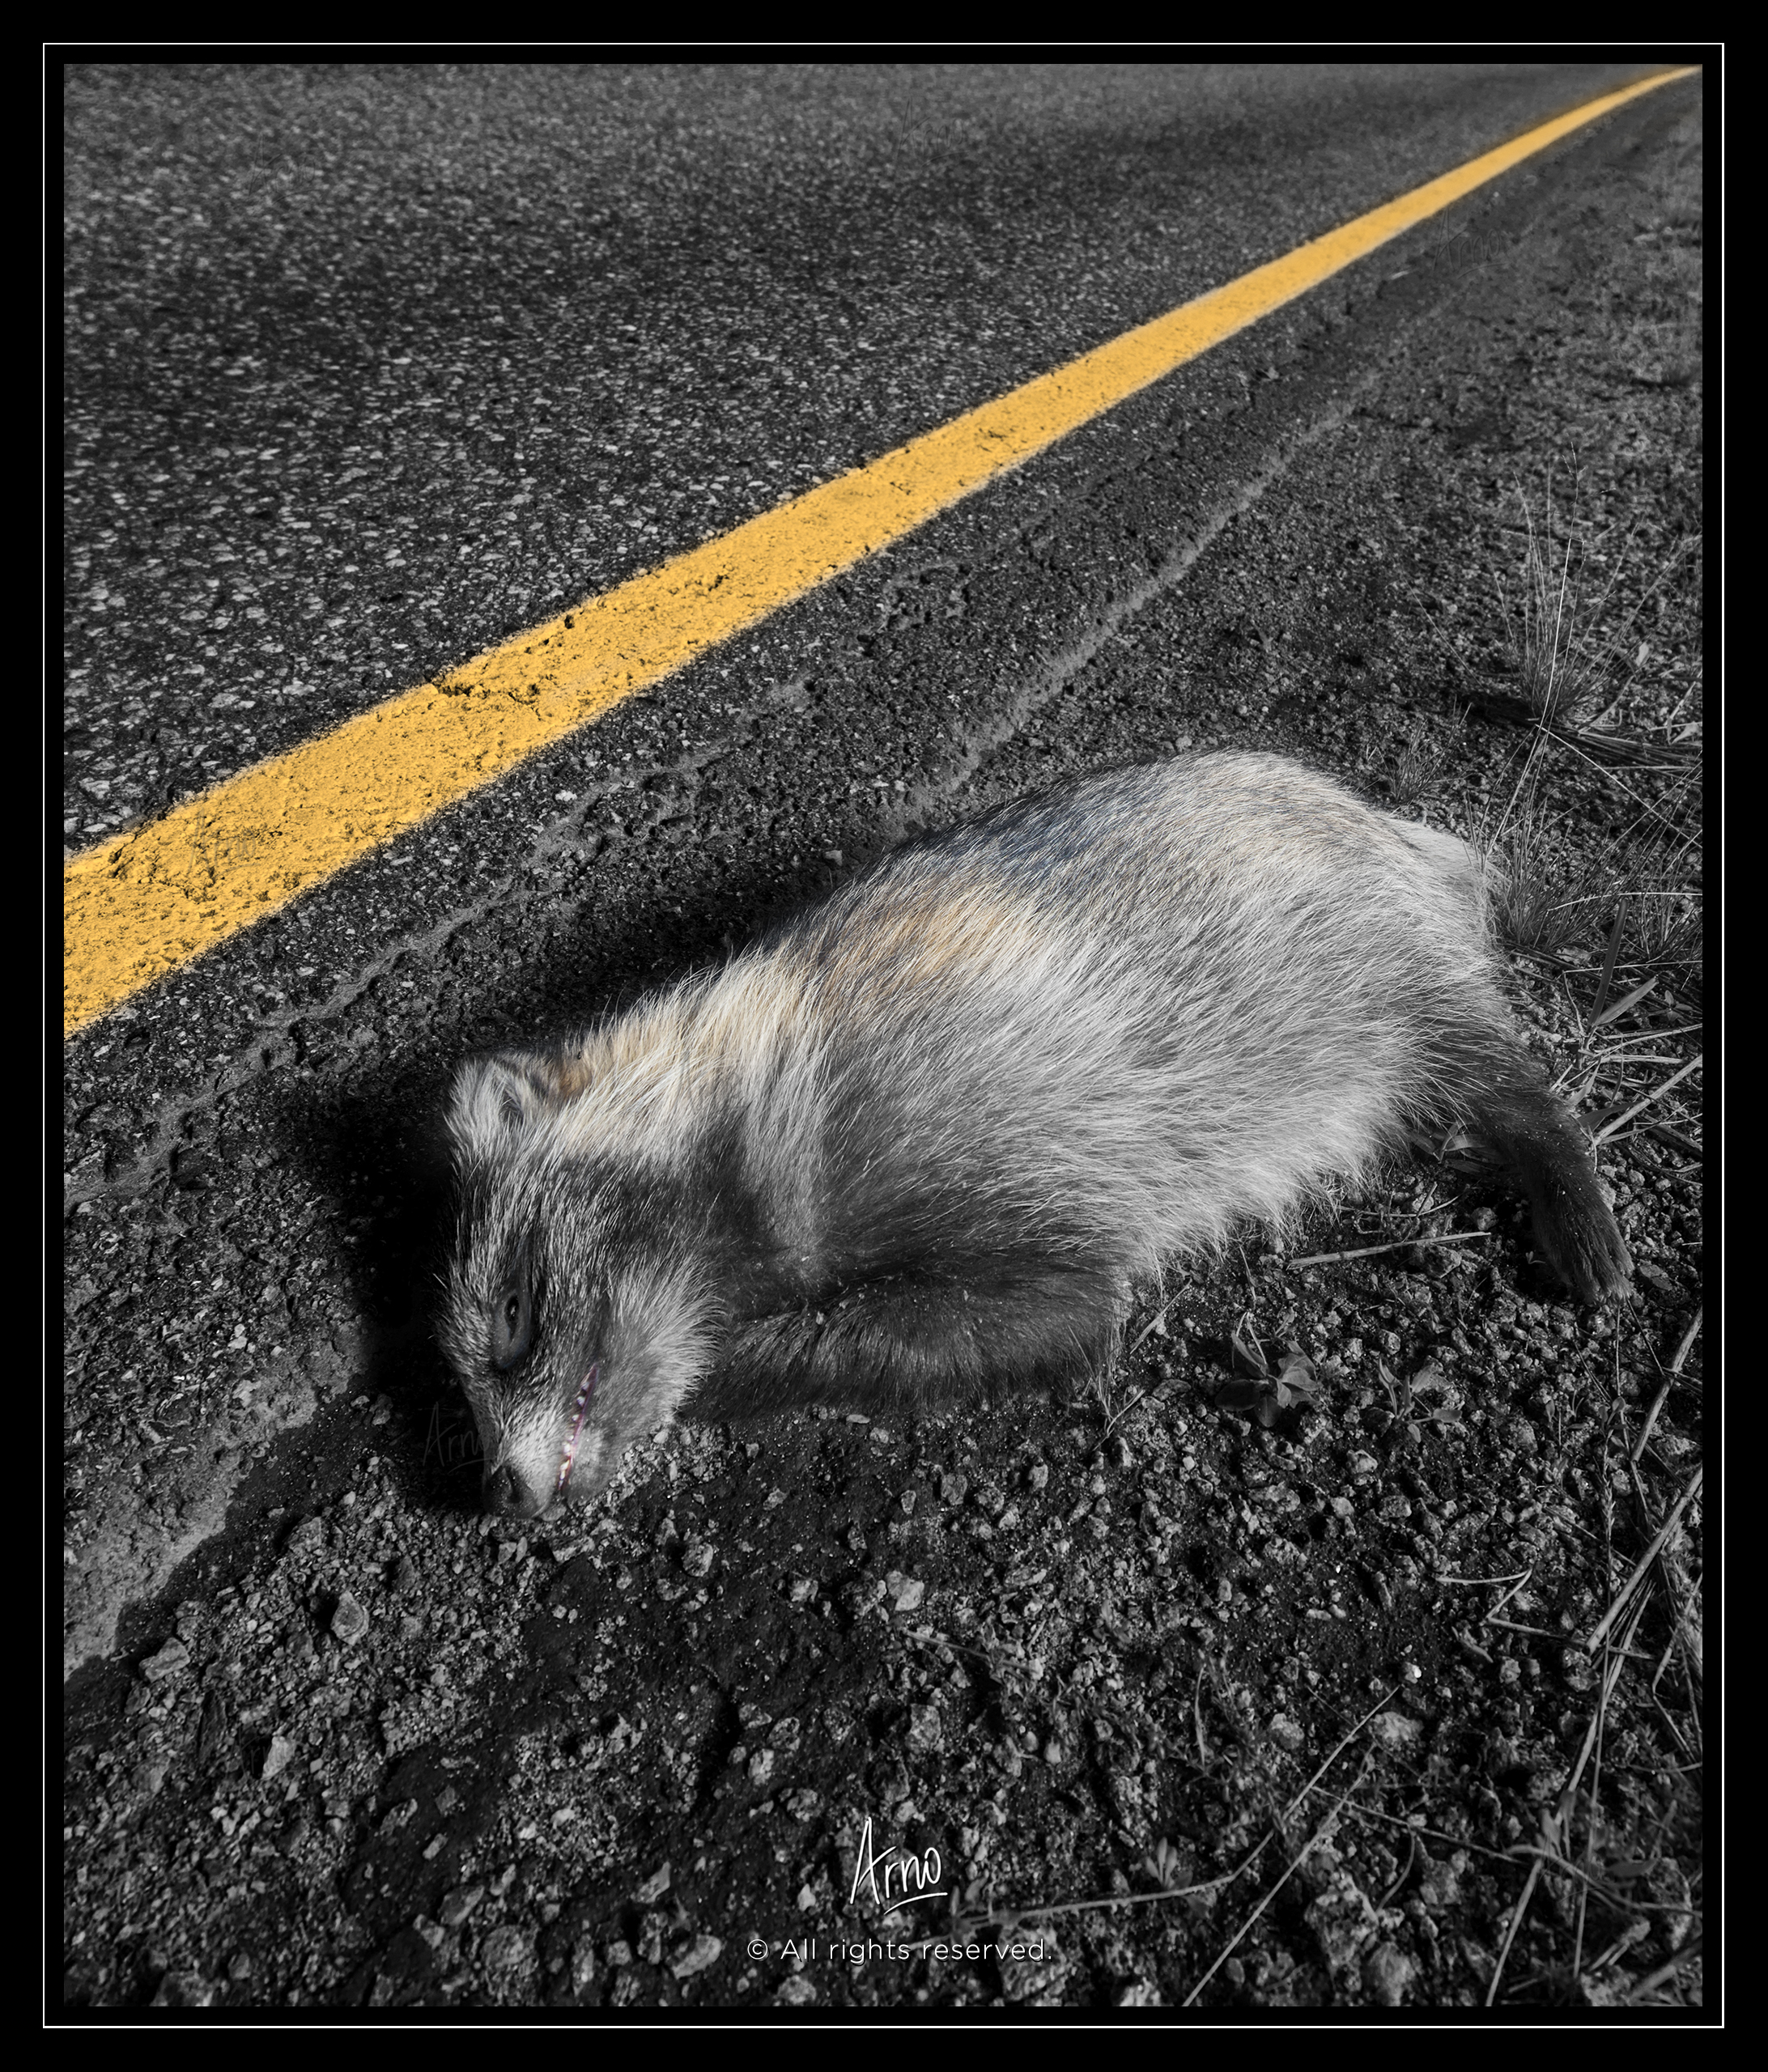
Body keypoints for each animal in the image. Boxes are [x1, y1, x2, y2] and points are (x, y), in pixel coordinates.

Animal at [441, 752, 1630, 1519]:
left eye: (511, 1315)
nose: (506, 1494)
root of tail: (1386, 822)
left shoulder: (967, 1124)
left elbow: (1054, 1308)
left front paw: (735, 1357)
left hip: (1380, 966)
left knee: (1491, 1068)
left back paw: (1578, 1214)